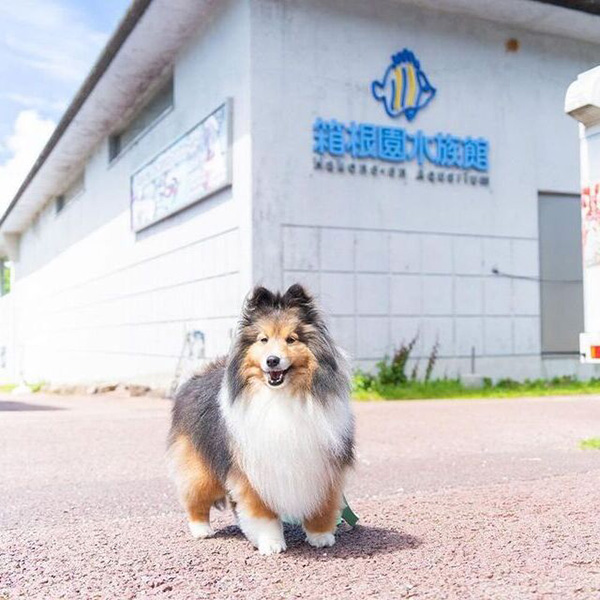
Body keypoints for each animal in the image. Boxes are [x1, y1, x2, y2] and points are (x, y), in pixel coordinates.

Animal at [166, 284, 354, 556]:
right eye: (263, 340)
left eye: (291, 339)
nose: (272, 360)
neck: (281, 396)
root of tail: (197, 375)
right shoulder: (252, 470)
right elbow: (262, 513)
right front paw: (271, 543)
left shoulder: (323, 465)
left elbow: (323, 504)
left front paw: (320, 536)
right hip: (201, 466)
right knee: (195, 496)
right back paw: (201, 530)